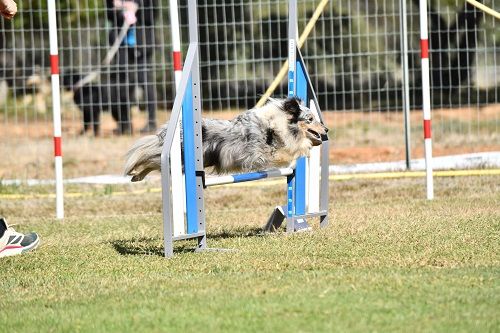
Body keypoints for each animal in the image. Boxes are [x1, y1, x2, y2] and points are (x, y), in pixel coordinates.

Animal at [124, 96, 328, 182]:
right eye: (310, 119)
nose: (326, 129)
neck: (275, 124)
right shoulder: (258, 156)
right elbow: (287, 154)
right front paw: (303, 149)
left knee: (152, 160)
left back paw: (136, 175)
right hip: (176, 159)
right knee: (149, 157)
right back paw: (134, 171)